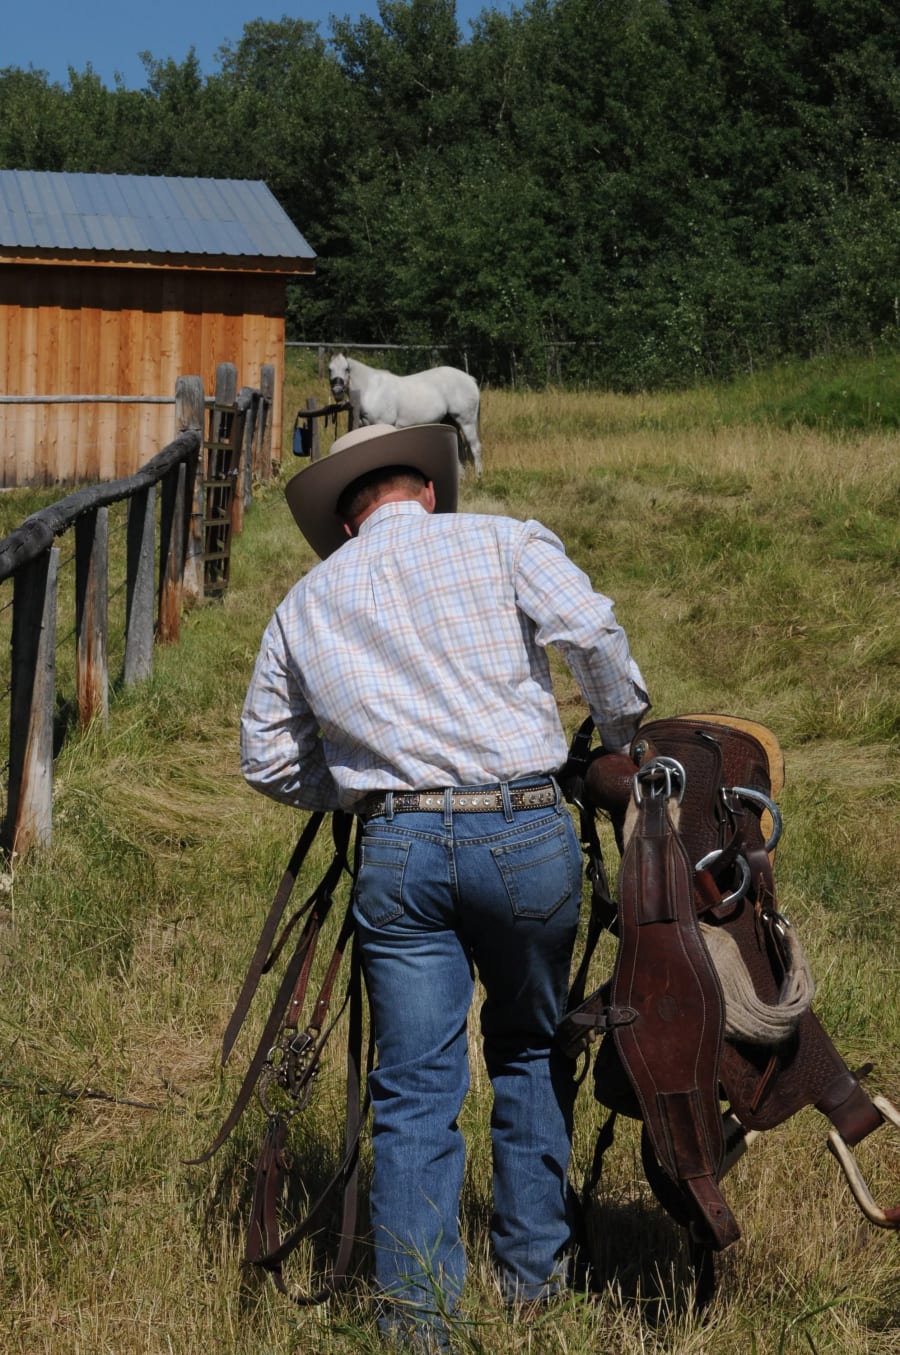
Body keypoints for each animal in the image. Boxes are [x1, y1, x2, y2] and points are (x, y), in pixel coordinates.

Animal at [330, 355, 485, 476]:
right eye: (330, 369)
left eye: (346, 369)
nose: (337, 391)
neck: (372, 390)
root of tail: (470, 379)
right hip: (451, 422)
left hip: (467, 422)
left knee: (475, 447)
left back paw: (478, 477)